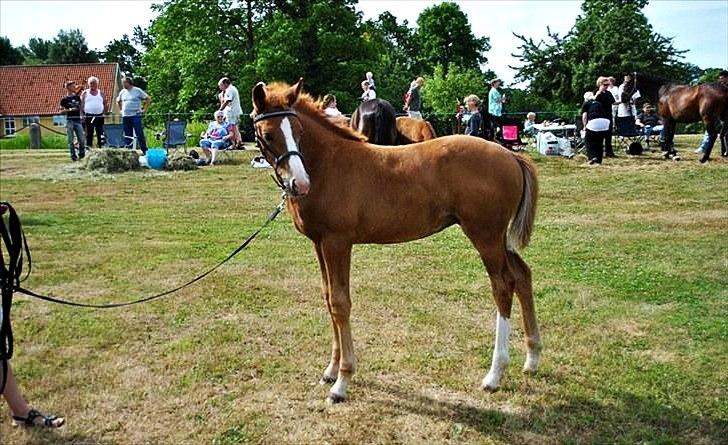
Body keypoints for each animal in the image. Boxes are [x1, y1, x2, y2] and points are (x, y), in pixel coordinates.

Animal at [250, 78, 540, 404]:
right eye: (268, 134)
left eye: (298, 132)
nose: (299, 184)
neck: (328, 166)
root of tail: (511, 156)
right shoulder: (319, 243)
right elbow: (328, 297)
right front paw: (330, 370)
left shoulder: (337, 243)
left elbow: (340, 303)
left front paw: (342, 381)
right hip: (500, 239)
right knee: (522, 275)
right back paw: (532, 359)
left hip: (486, 236)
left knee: (503, 286)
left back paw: (494, 374)